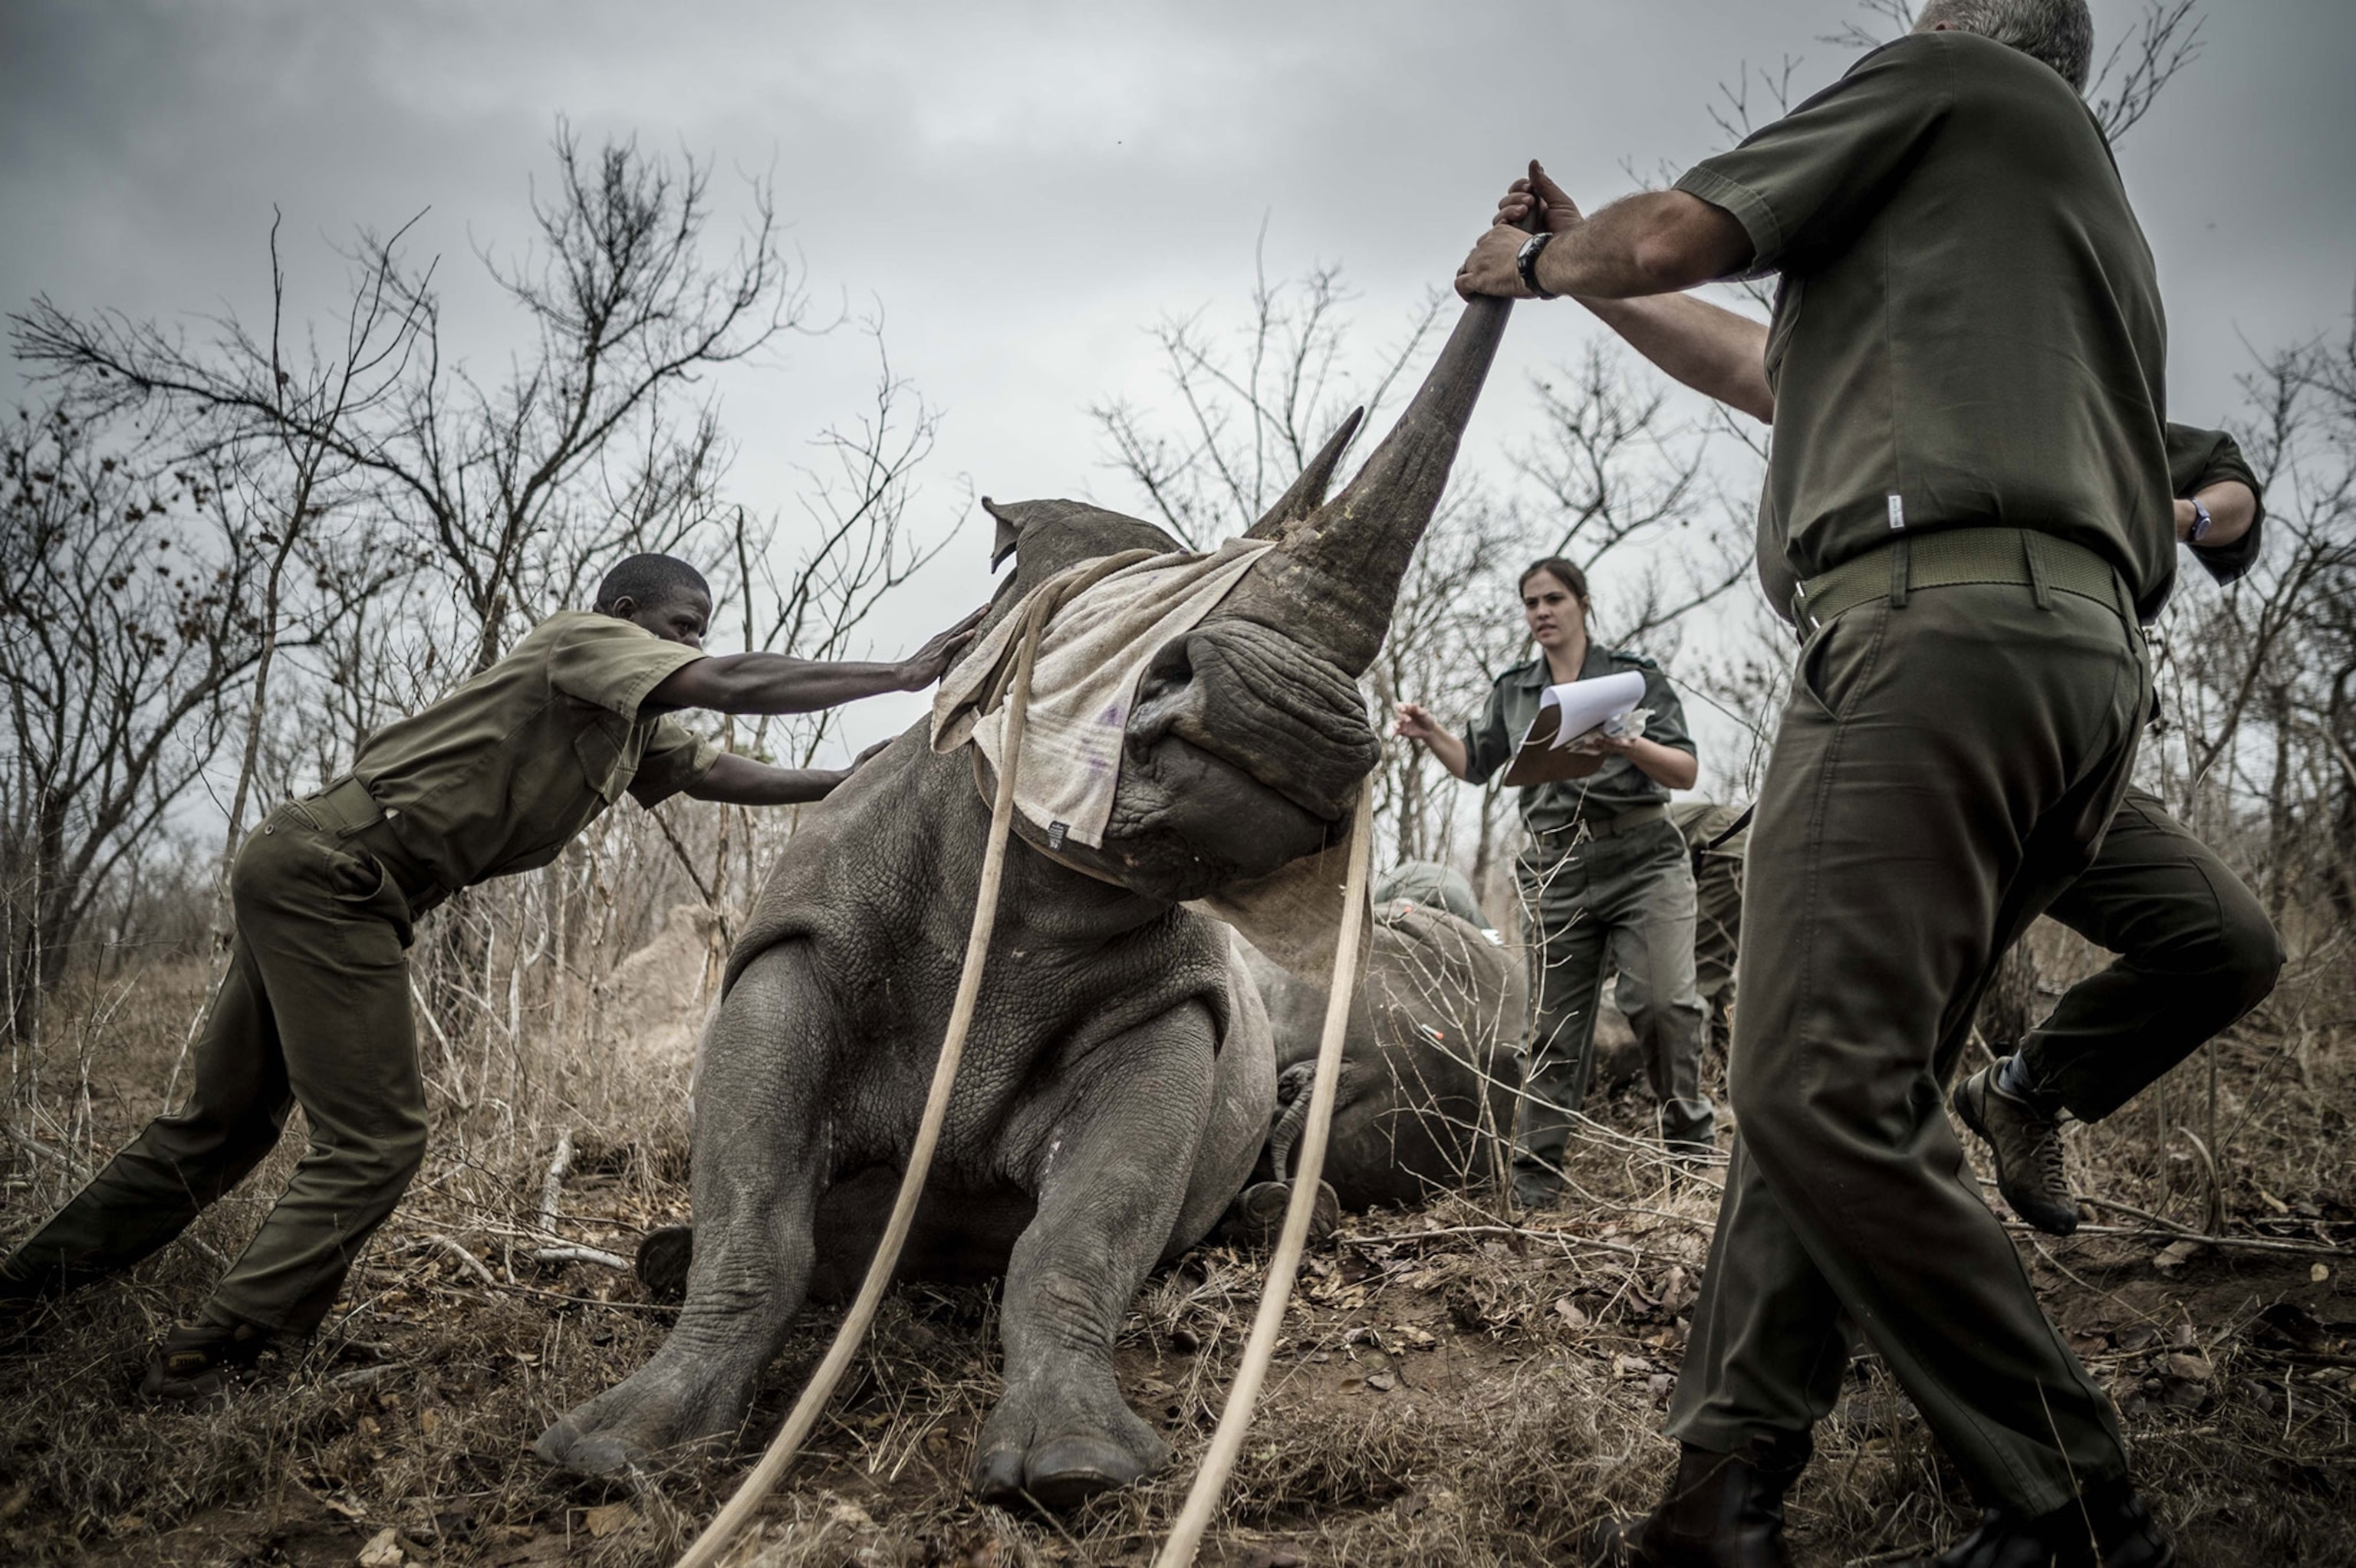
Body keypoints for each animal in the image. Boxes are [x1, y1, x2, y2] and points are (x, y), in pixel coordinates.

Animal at [533, 293, 1517, 1507]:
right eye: (1130, 634)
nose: (1295, 720)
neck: (1035, 908)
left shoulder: (1172, 1006)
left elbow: (1082, 1232)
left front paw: (1076, 1470)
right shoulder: (797, 948)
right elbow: (752, 1210)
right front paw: (621, 1448)